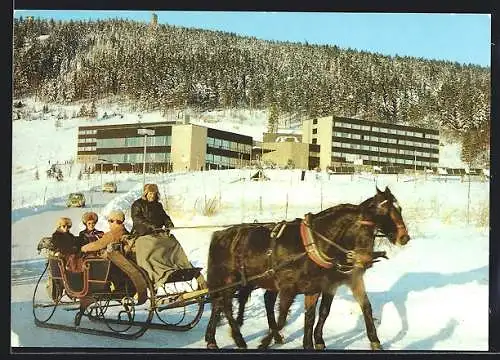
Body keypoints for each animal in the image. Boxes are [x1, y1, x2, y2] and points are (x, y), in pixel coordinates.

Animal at [204, 187, 410, 350]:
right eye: (385, 212)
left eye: (399, 209)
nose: (404, 237)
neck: (314, 244)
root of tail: (219, 234)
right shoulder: (290, 288)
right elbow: (284, 318)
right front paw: (264, 343)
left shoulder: (318, 287)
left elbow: (314, 316)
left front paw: (311, 343)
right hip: (228, 280)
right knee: (225, 305)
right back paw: (237, 339)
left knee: (222, 303)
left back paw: (213, 338)